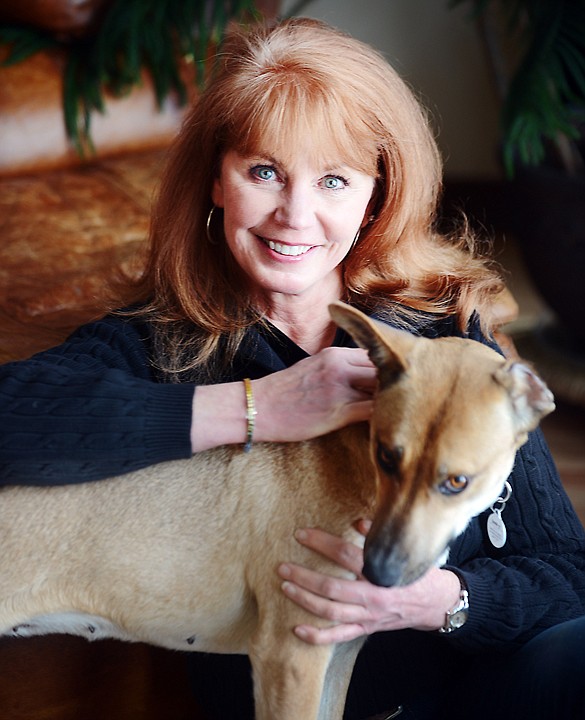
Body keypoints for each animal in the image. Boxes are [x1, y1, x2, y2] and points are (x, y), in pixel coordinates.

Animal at [0, 300, 552, 716]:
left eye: (456, 482)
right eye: (386, 456)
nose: (378, 573)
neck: (351, 468)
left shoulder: (337, 656)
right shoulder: (289, 657)